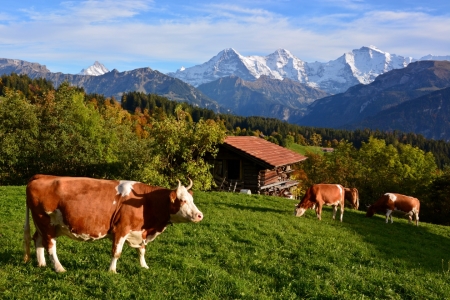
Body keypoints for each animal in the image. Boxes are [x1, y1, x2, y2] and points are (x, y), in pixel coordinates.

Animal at [22, 175, 202, 274]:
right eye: (183, 200)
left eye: (192, 199)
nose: (200, 215)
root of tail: (42, 176)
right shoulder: (121, 229)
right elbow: (116, 253)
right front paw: (112, 271)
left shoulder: (140, 232)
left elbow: (142, 251)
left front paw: (144, 266)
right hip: (46, 222)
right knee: (50, 246)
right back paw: (59, 268)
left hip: (43, 224)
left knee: (38, 240)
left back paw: (42, 264)